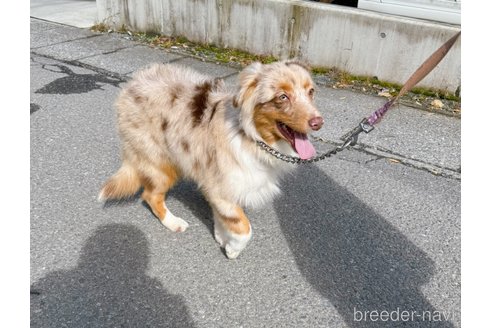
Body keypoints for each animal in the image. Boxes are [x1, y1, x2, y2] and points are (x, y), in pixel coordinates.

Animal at [98, 59, 324, 258]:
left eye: (311, 92)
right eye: (282, 97)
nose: (318, 122)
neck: (249, 137)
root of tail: (133, 83)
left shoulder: (220, 186)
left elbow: (224, 217)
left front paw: (222, 237)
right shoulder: (221, 187)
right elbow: (245, 228)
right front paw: (233, 249)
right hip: (161, 163)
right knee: (150, 196)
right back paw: (174, 223)